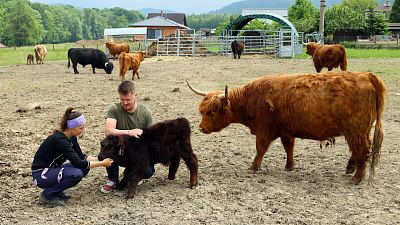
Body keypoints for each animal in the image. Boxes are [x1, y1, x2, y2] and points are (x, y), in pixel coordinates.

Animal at [189, 71, 386, 185]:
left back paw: (357, 177)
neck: (252, 98)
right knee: (361, 149)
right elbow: (288, 147)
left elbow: (260, 149)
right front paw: (289, 166)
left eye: (212, 111)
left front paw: (253, 167)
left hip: (355, 129)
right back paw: (351, 168)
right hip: (359, 130)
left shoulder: (264, 131)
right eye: (202, 111)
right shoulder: (286, 131)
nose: (201, 128)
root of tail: (366, 75)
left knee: (362, 149)